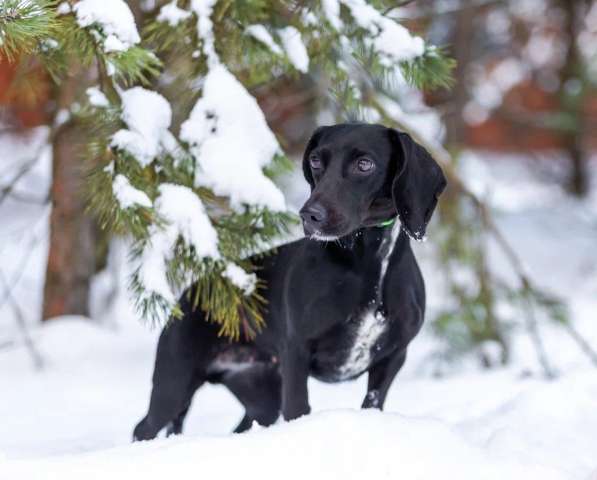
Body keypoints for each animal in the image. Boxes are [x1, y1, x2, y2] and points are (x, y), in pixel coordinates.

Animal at [133, 123, 444, 438]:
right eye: (316, 161)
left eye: (364, 164)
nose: (309, 215)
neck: (368, 261)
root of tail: (191, 293)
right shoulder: (297, 352)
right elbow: (298, 408)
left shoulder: (392, 358)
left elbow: (372, 403)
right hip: (175, 382)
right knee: (144, 427)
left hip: (261, 398)